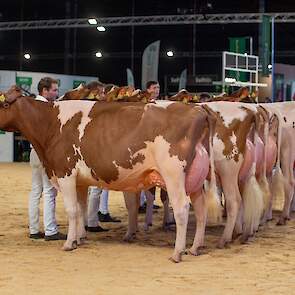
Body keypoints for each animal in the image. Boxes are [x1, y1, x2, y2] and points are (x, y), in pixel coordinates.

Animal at [0, 86, 221, 262]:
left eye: (3, 103)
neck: (51, 125)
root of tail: (198, 109)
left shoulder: (65, 174)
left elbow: (72, 210)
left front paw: (69, 243)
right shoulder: (80, 181)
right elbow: (81, 208)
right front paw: (80, 238)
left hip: (174, 175)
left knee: (182, 209)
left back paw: (177, 253)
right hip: (196, 179)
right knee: (201, 210)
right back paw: (195, 248)